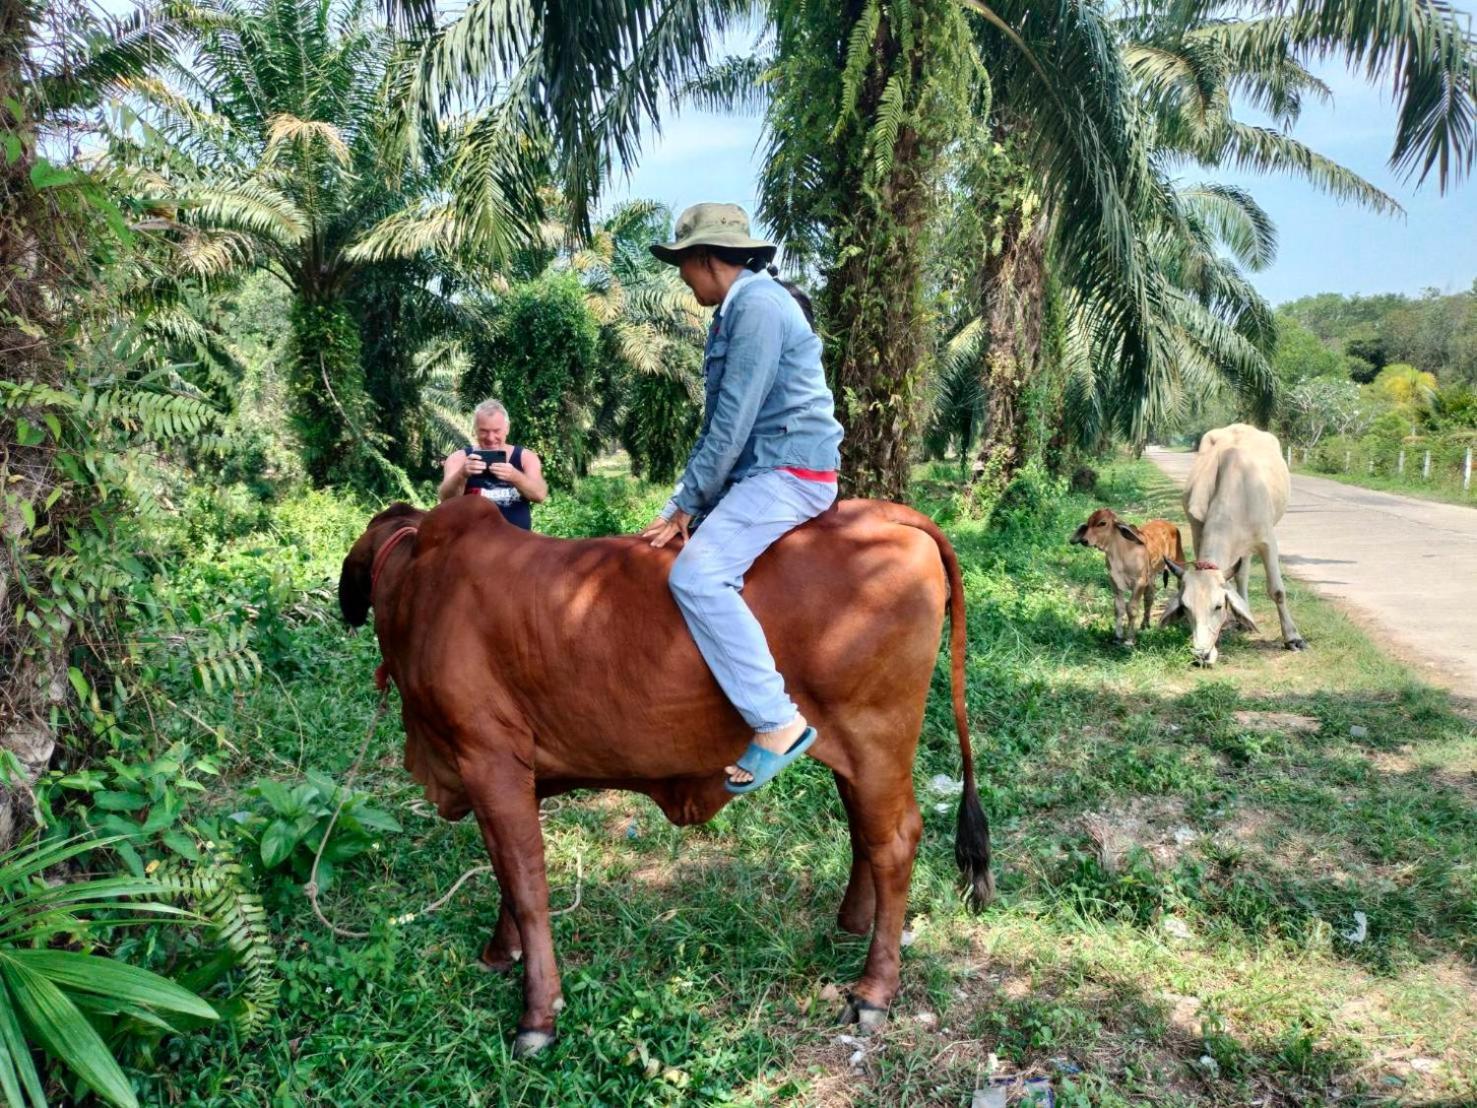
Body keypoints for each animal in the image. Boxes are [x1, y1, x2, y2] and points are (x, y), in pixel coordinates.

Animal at [338, 493, 992, 1057]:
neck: (420, 586)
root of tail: (889, 514)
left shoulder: (488, 759)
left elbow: (524, 884)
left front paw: (537, 1014)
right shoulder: (508, 775)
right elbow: (507, 875)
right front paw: (502, 952)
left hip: (877, 736)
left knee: (895, 841)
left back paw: (874, 989)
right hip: (852, 752)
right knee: (866, 834)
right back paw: (852, 926)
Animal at [1069, 508, 1181, 647]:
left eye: (1102, 523)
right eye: (1088, 523)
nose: (1084, 540)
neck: (1119, 554)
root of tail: (1168, 524)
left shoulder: (1139, 582)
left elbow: (1131, 609)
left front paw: (1129, 640)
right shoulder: (1114, 582)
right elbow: (1119, 608)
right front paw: (1118, 636)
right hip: (1151, 577)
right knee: (1149, 598)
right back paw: (1145, 625)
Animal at [1163, 425, 1305, 667]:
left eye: (1218, 606)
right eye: (1186, 608)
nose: (1201, 655)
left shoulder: (1267, 539)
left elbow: (1277, 591)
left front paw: (1293, 638)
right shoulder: (1197, 531)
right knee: (1241, 575)